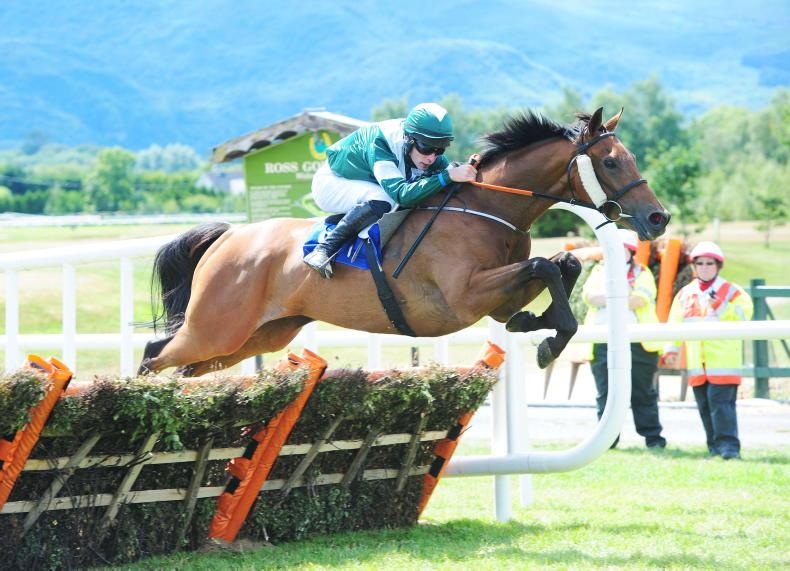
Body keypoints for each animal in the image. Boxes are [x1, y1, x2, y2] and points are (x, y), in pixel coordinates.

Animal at [139, 107, 670, 377]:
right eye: (611, 161)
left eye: (630, 157)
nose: (658, 217)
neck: (488, 209)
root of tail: (228, 238)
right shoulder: (463, 297)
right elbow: (545, 265)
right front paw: (546, 339)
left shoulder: (493, 298)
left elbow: (563, 265)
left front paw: (536, 324)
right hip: (215, 328)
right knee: (153, 356)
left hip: (257, 335)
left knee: (183, 366)